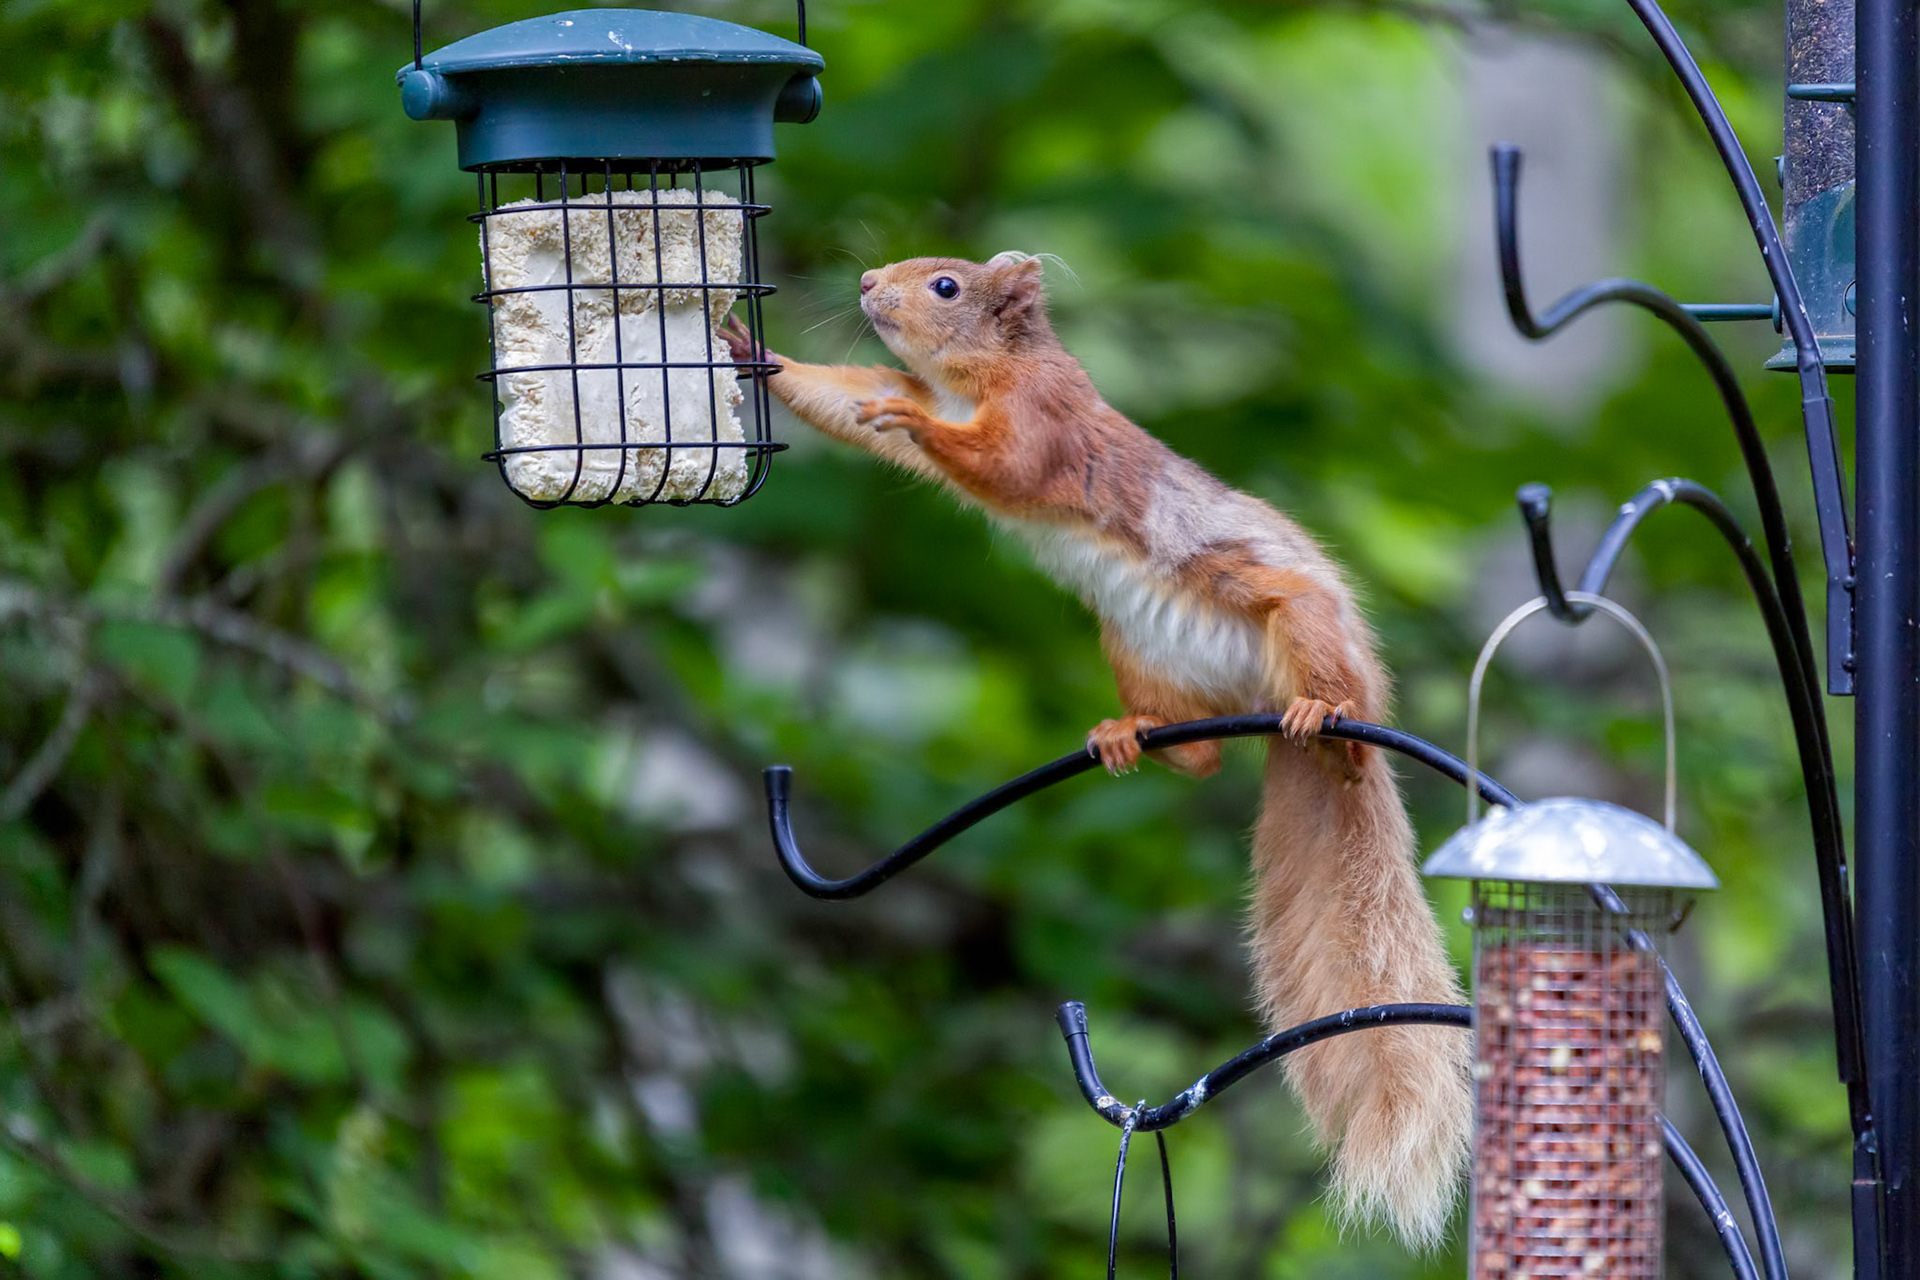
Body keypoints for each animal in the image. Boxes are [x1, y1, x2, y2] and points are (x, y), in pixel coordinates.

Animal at [718, 253, 1471, 1249]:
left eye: (947, 285)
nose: (872, 279)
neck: (971, 381)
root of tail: (1274, 710)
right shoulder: (908, 382)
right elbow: (846, 398)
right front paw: (749, 350)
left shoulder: (1044, 420)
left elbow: (1000, 461)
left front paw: (915, 426)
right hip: (1134, 649)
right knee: (1203, 760)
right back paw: (1133, 737)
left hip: (1295, 619)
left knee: (1322, 692)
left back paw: (1329, 726)